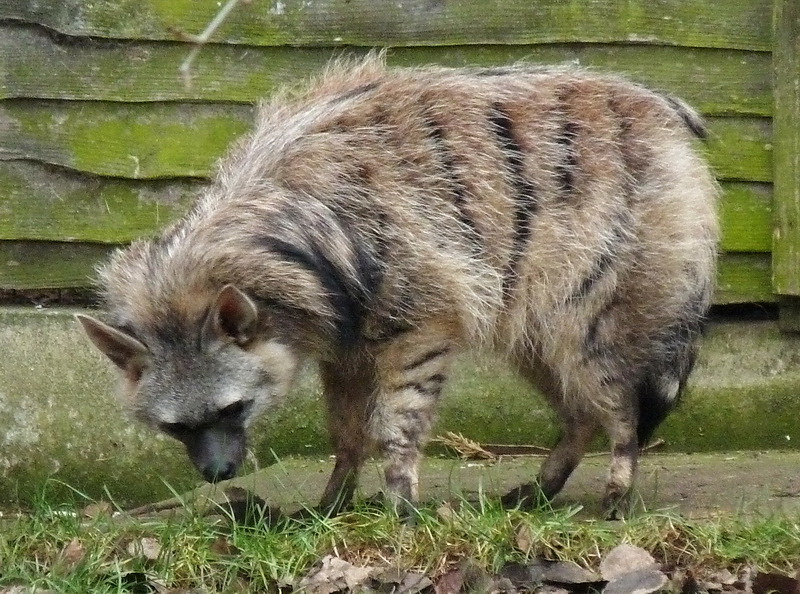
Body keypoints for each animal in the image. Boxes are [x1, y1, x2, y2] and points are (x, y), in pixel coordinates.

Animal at [77, 55, 718, 517]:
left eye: (235, 406)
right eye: (175, 426)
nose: (216, 474)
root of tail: (664, 113)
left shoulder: (421, 319)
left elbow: (398, 425)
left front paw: (399, 506)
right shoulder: (344, 340)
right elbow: (346, 432)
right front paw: (330, 505)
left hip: (587, 306)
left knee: (619, 402)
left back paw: (616, 490)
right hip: (531, 324)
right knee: (578, 408)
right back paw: (540, 491)